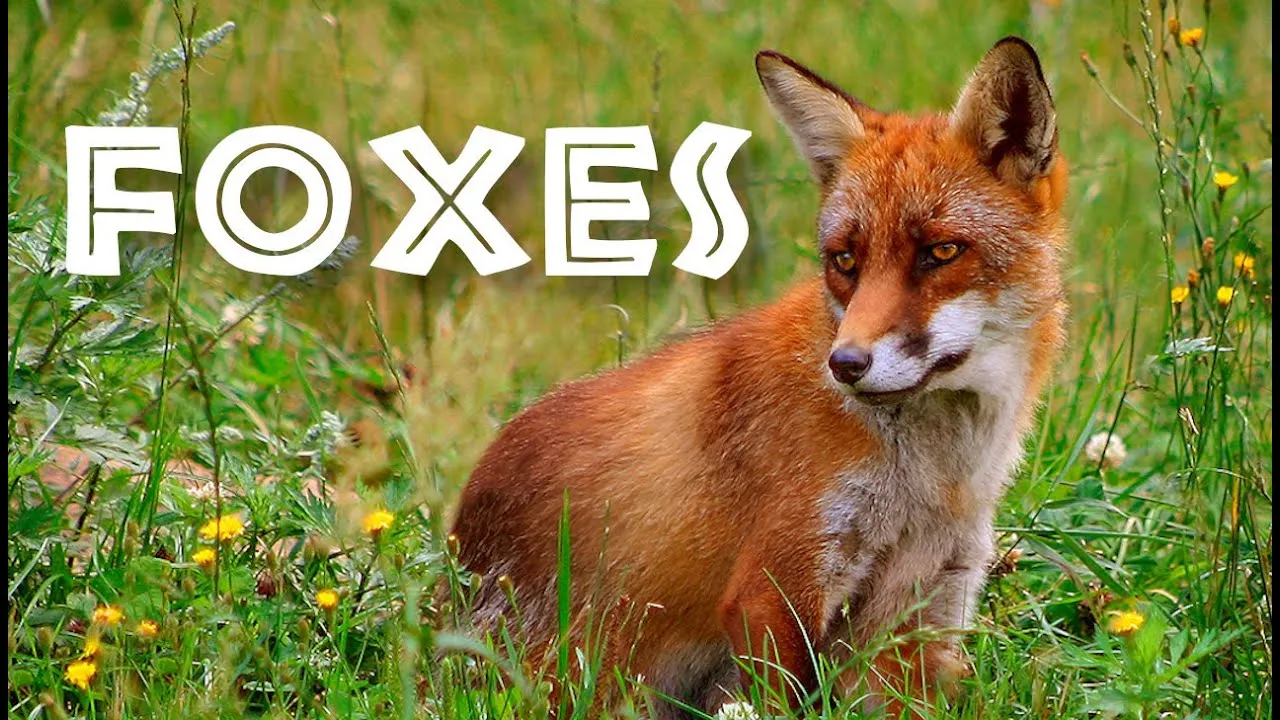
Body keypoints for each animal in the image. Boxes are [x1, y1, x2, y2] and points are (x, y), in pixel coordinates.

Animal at [448, 36, 1068, 718]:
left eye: (942, 252)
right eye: (844, 261)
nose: (845, 365)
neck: (933, 480)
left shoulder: (923, 605)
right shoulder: (775, 584)